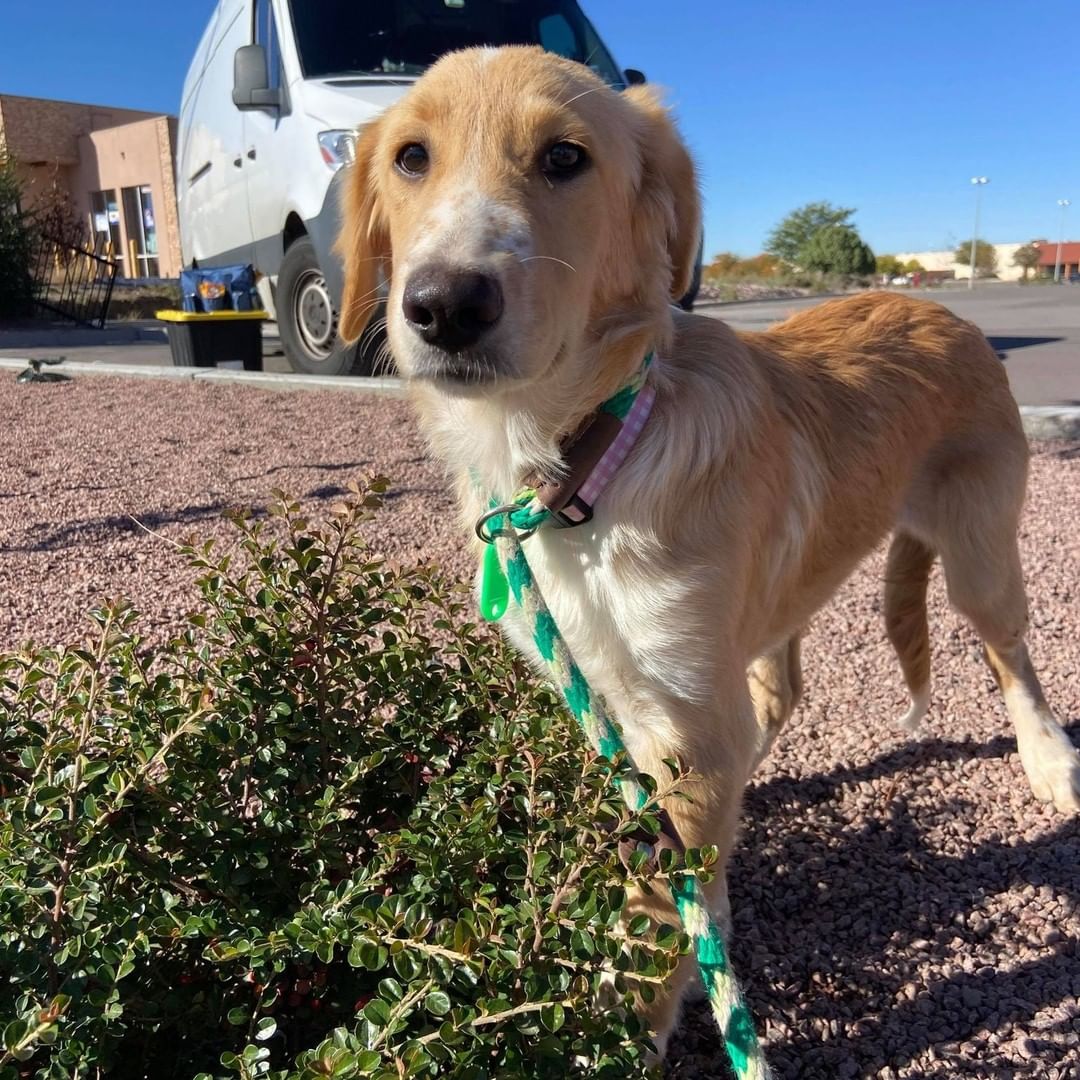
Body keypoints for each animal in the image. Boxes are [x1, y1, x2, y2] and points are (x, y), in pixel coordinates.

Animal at [332, 48, 1075, 1054]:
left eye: (565, 158)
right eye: (411, 157)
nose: (445, 304)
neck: (584, 460)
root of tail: (948, 314)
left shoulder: (683, 720)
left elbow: (656, 909)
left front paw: (621, 1035)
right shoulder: (638, 703)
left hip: (977, 556)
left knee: (1009, 654)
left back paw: (1049, 761)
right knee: (781, 691)